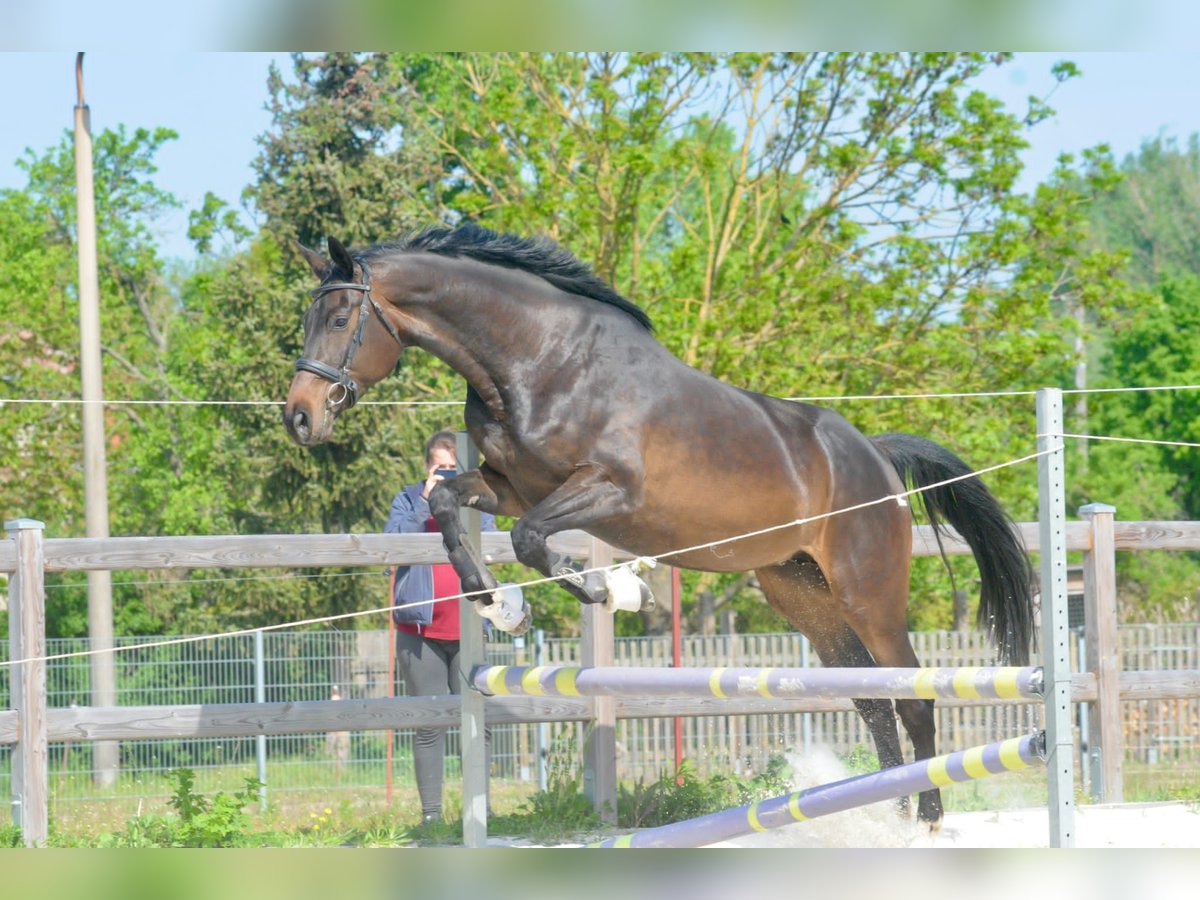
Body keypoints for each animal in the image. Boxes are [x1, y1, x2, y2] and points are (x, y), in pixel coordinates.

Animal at [280, 222, 1032, 830]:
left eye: (341, 315)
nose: (300, 417)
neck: (539, 358)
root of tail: (876, 457)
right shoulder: (509, 485)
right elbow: (447, 508)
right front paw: (498, 603)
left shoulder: (608, 491)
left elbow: (534, 541)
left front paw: (606, 590)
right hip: (801, 593)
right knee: (873, 701)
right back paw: (890, 815)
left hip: (867, 592)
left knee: (912, 698)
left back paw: (928, 819)